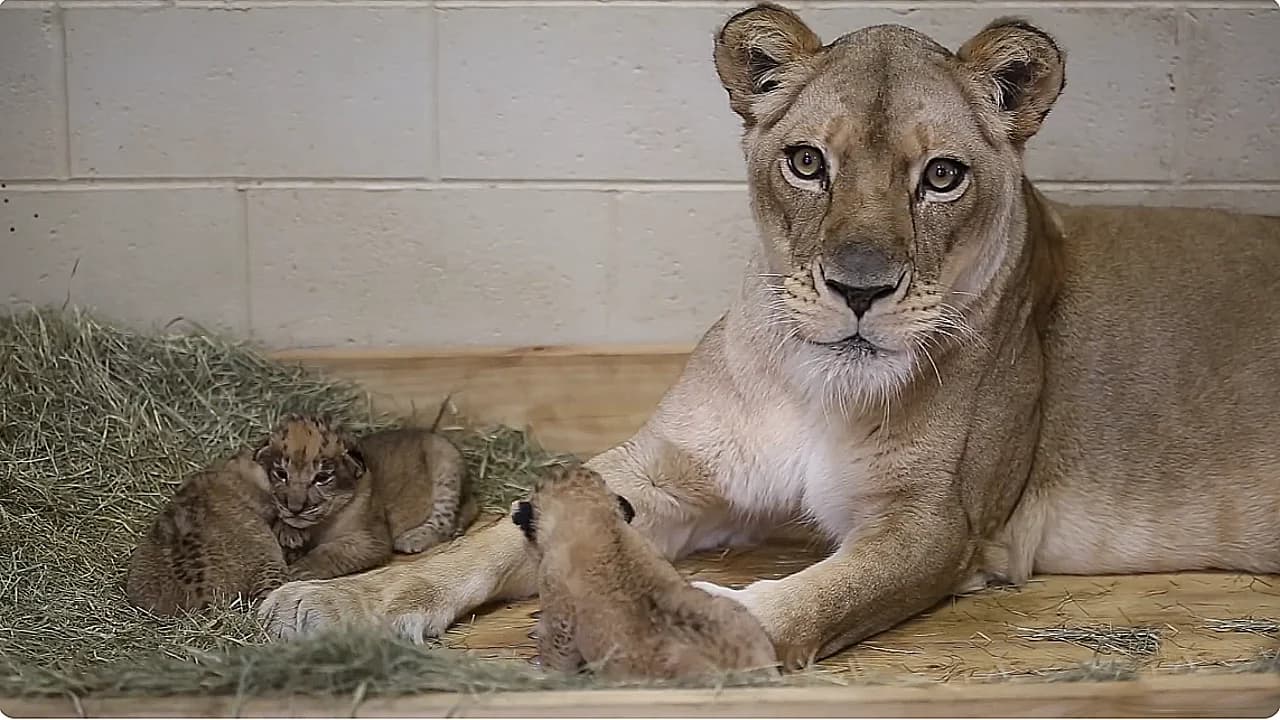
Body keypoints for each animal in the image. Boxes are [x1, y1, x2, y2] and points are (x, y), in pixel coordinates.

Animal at [259, 2, 1280, 666]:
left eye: (942, 176)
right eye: (806, 163)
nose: (859, 290)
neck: (819, 379)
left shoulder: (937, 528)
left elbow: (809, 598)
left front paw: (676, 626)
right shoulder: (663, 473)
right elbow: (481, 543)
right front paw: (337, 599)